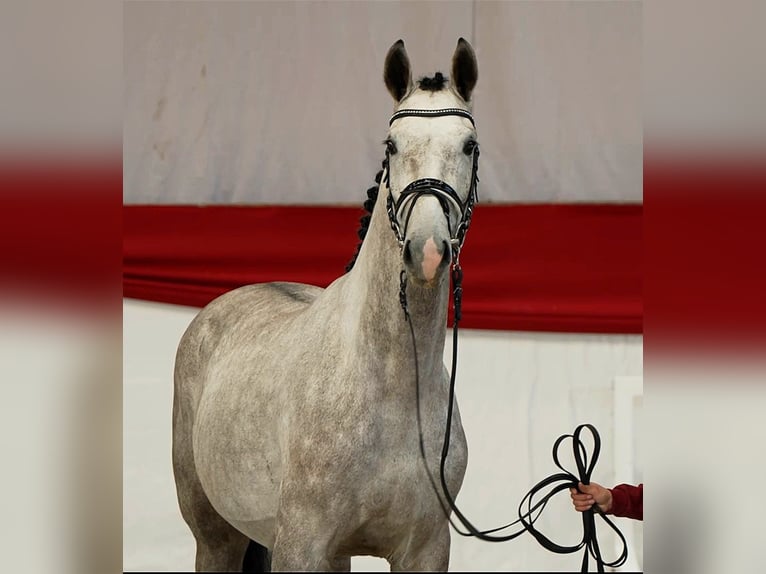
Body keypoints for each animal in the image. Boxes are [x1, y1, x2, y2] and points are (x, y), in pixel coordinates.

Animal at [172, 38, 480, 572]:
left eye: (469, 146)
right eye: (391, 146)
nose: (427, 250)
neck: (392, 384)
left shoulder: (424, 549)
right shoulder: (301, 545)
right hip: (216, 538)